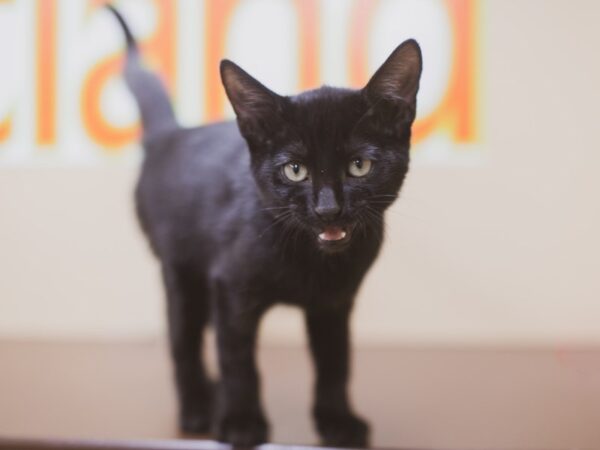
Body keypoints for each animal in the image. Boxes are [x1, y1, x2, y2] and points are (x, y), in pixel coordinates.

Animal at [109, 5, 422, 448]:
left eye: (359, 166)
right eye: (295, 170)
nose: (328, 208)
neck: (310, 259)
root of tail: (170, 135)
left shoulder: (334, 302)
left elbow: (335, 362)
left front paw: (337, 421)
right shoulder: (230, 287)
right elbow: (239, 360)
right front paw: (241, 423)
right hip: (181, 272)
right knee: (183, 341)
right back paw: (197, 408)